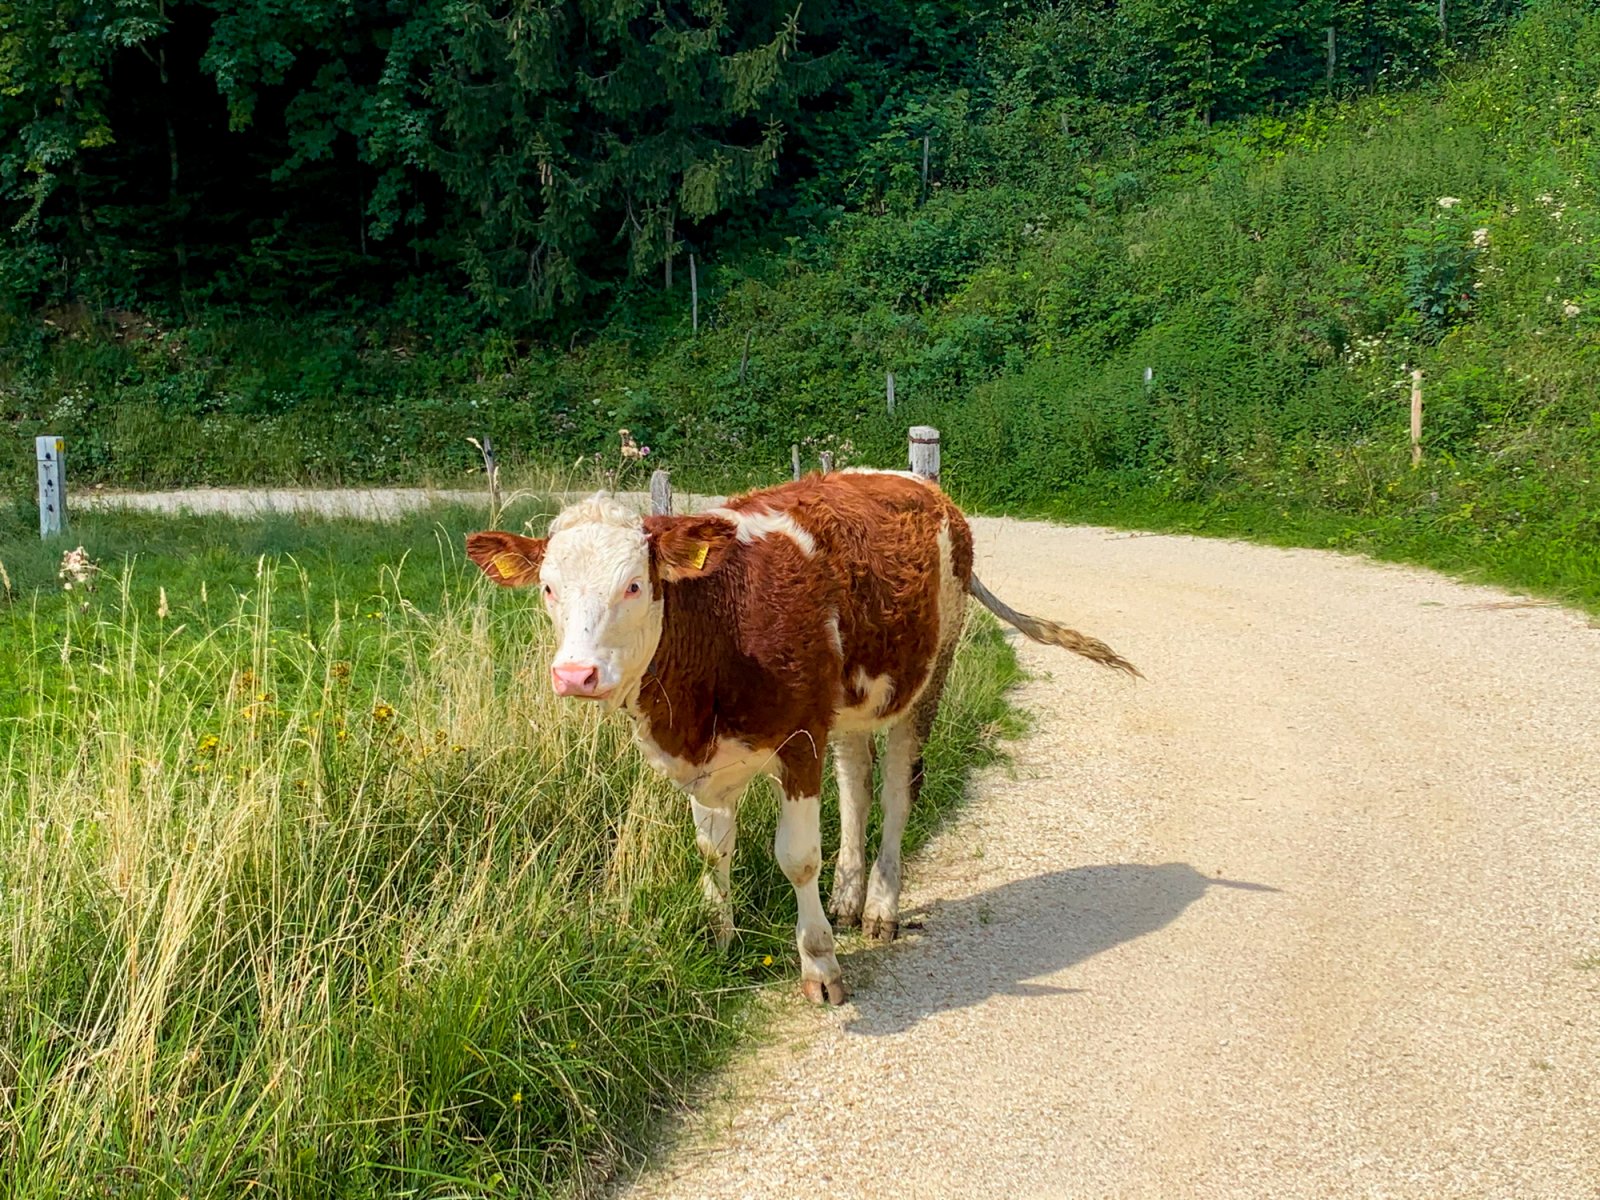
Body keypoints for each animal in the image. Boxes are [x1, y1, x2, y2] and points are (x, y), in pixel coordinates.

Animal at [467, 470, 1139, 1004]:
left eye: (633, 584)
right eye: (548, 587)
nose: (574, 675)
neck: (721, 624)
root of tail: (921, 485)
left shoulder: (800, 740)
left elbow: (797, 856)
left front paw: (819, 964)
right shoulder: (713, 761)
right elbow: (713, 849)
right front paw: (720, 937)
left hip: (928, 676)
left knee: (897, 792)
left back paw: (879, 908)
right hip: (849, 710)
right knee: (857, 786)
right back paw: (847, 897)